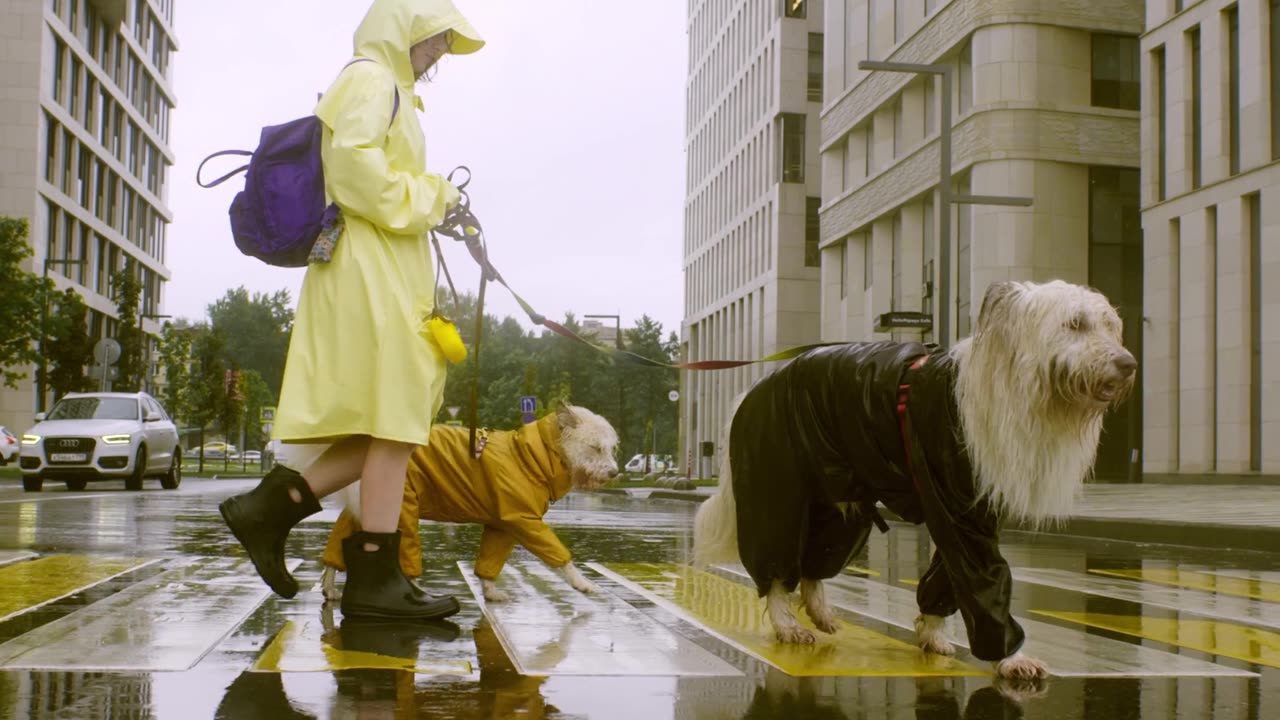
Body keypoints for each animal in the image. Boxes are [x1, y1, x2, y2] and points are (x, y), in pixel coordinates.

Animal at [280, 399, 619, 602]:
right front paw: (582, 583)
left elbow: (490, 562)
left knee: (337, 546)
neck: (531, 456)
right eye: (595, 447)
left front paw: (490, 592)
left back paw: (330, 587)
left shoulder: (503, 525)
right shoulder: (525, 521)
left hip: (362, 505)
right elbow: (560, 555)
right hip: (401, 504)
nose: (615, 473)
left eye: (611, 448)